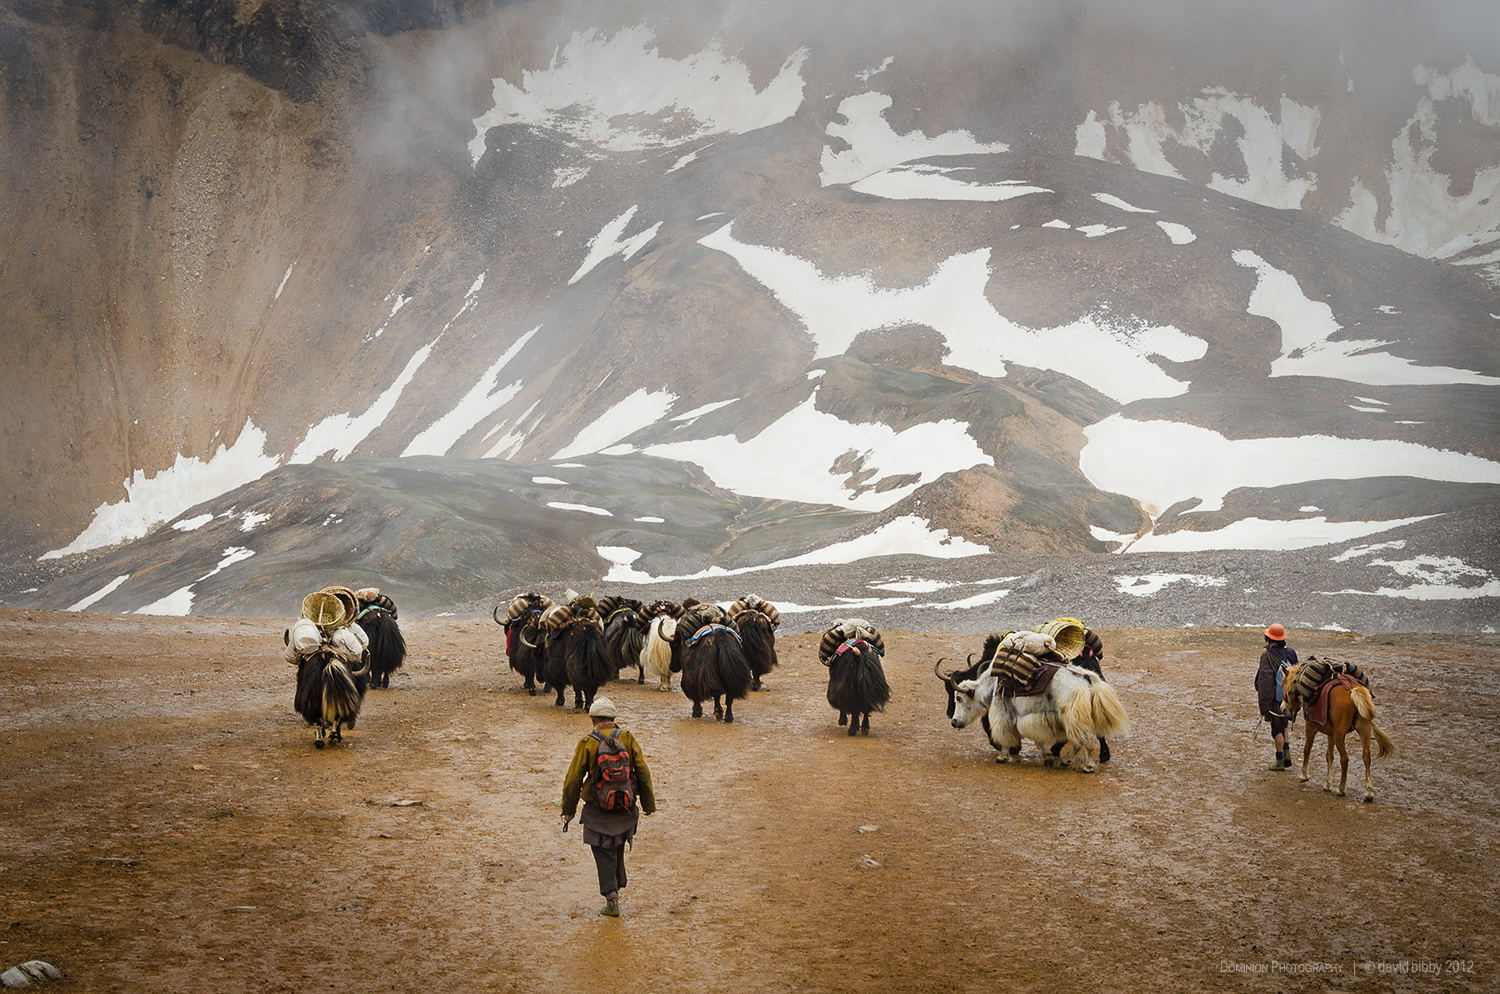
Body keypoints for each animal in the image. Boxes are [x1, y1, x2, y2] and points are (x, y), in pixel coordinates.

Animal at [1278, 659, 1392, 803]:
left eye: (1283, 685)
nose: (1283, 709)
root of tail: (1352, 688)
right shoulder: (1330, 733)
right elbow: (1329, 755)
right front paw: (1328, 783)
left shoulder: (1311, 727)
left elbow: (1307, 749)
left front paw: (1304, 775)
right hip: (1364, 730)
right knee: (1366, 757)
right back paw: (1369, 792)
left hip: (1340, 734)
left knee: (1345, 759)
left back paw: (1341, 789)